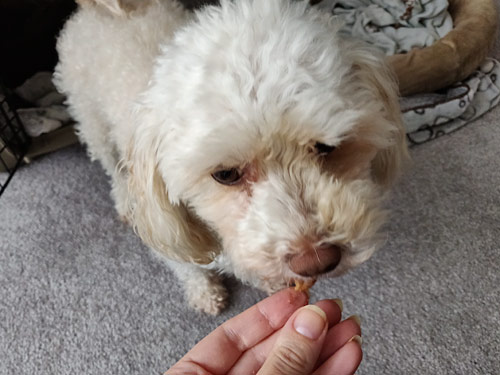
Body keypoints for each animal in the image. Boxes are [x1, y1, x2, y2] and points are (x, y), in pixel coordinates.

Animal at [54, 0, 406, 314]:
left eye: (326, 147)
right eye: (225, 175)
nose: (316, 261)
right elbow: (187, 266)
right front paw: (204, 292)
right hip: (92, 122)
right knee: (111, 166)